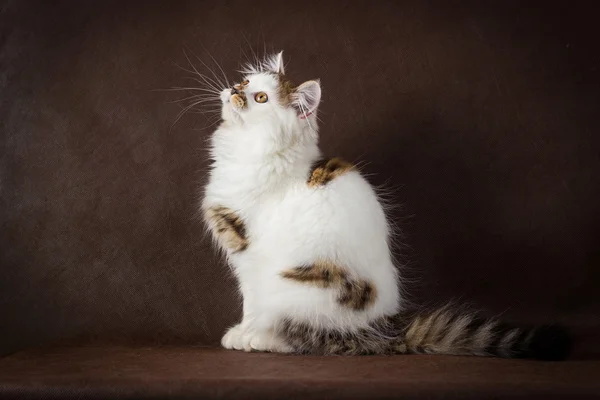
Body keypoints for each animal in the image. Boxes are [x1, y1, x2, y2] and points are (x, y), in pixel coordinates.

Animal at [199, 50, 568, 360]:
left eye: (260, 98)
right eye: (246, 83)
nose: (234, 89)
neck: (249, 151)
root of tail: (386, 329)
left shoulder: (249, 254)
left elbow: (252, 304)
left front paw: (244, 334)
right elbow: (249, 303)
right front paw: (241, 331)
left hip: (291, 289)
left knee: (312, 338)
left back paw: (264, 340)